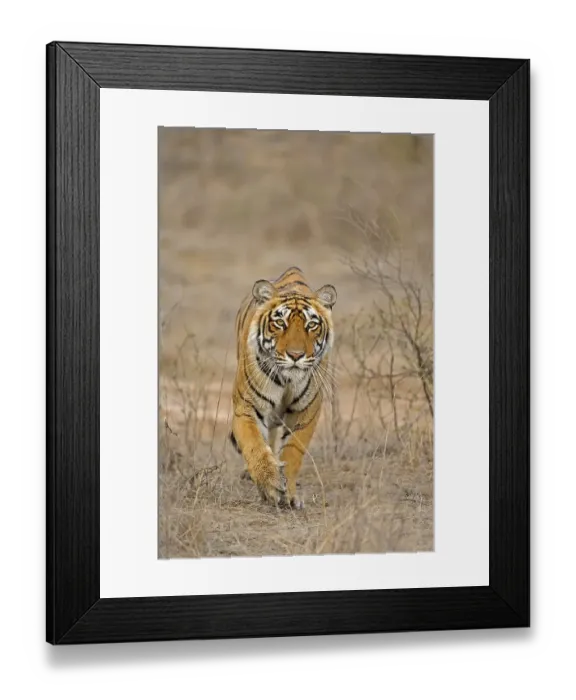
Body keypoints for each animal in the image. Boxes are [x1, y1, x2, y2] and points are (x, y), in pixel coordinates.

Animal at [229, 266, 337, 510]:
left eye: (311, 325)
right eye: (280, 323)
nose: (296, 355)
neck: (287, 380)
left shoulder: (307, 412)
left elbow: (293, 451)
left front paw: (288, 493)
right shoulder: (246, 407)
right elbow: (255, 445)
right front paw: (270, 483)